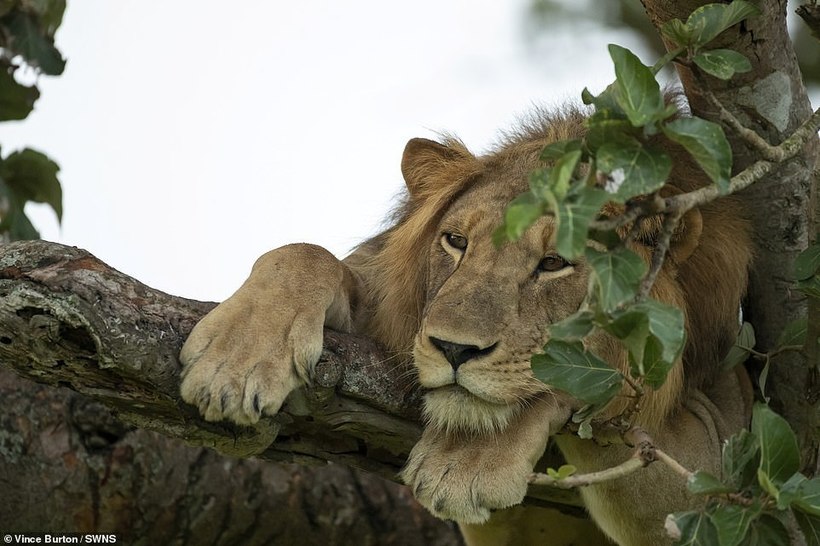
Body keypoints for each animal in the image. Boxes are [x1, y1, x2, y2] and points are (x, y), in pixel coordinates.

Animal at [179, 106, 756, 544]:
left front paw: (465, 462)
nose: (454, 350)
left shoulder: (720, 460)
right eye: (456, 242)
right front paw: (234, 365)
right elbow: (303, 255)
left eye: (554, 263)